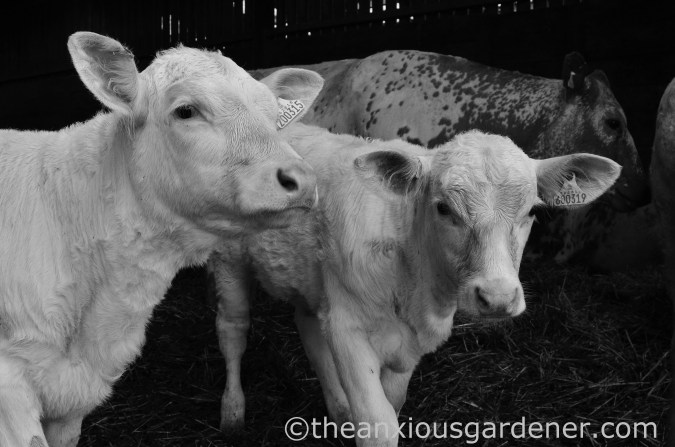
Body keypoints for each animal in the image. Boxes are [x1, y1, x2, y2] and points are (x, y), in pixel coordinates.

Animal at [209, 123, 620, 446]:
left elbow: (394, 403)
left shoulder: (406, 342)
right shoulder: (347, 327)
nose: (498, 298)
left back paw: (338, 411)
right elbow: (378, 424)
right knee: (233, 331)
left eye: (532, 211)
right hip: (229, 261)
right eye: (443, 208)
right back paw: (232, 412)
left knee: (307, 327)